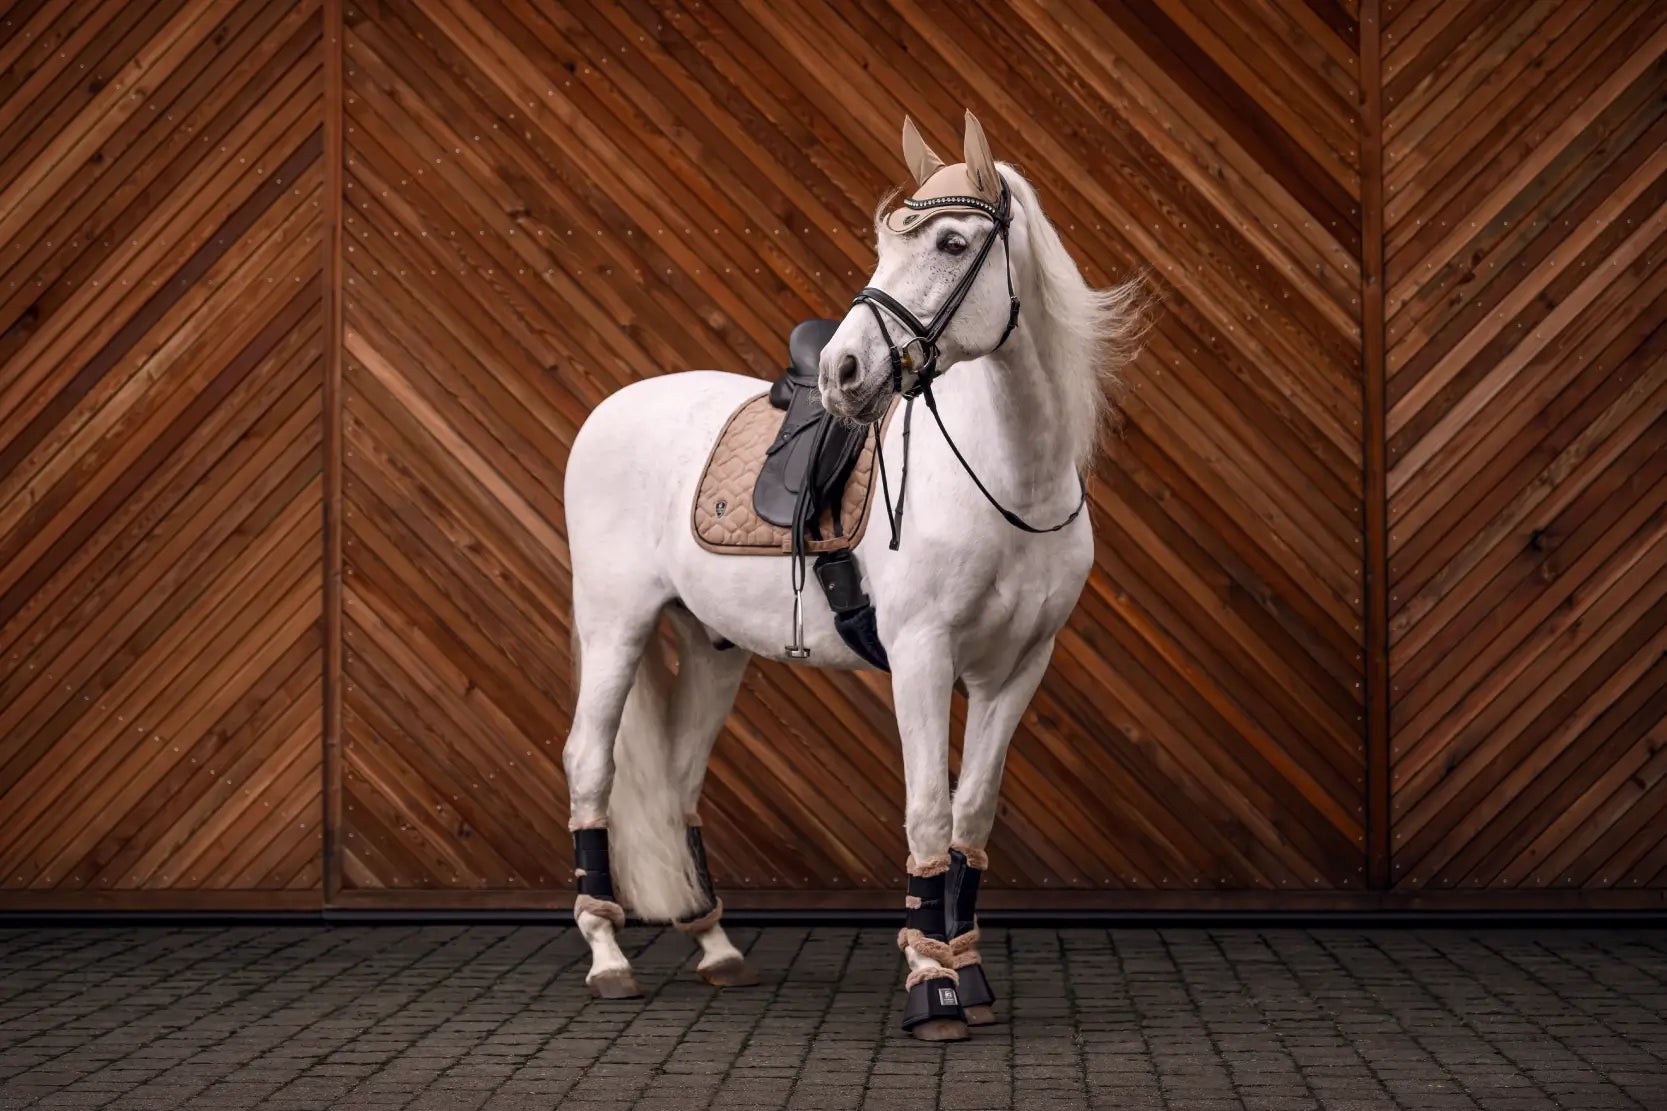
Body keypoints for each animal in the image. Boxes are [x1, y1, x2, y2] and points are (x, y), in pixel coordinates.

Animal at [559, 111, 1144, 1041]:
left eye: (951, 241)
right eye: (884, 243)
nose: (842, 373)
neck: (1006, 481)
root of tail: (612, 409)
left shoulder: (1020, 667)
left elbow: (972, 814)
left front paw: (966, 974)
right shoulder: (921, 657)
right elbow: (928, 809)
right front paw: (930, 987)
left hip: (713, 645)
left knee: (679, 781)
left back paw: (716, 946)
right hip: (615, 624)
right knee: (590, 762)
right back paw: (608, 956)